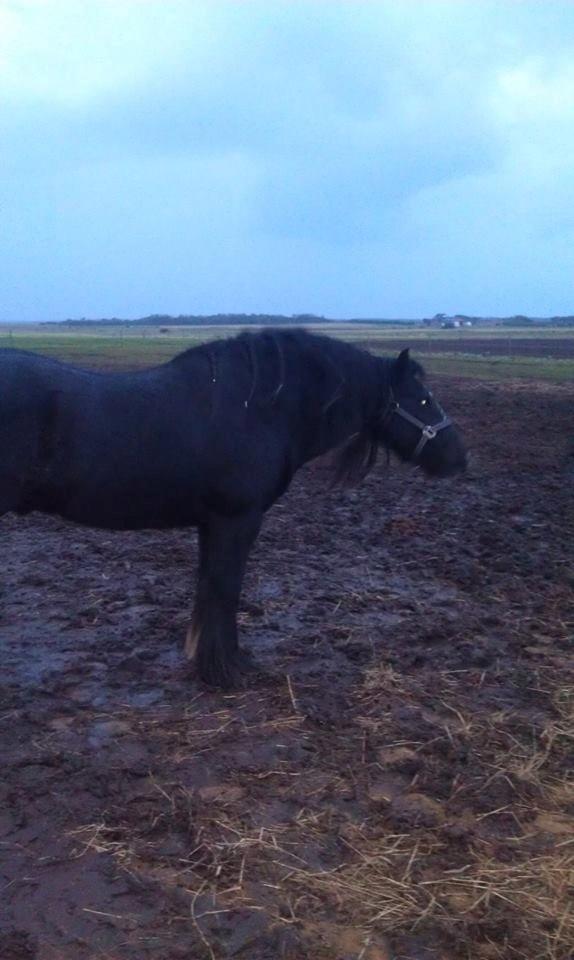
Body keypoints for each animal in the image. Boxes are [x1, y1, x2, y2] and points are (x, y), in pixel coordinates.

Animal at [0, 334, 468, 688]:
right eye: (423, 400)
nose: (461, 459)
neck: (258, 408)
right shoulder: (237, 520)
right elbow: (225, 588)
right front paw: (227, 670)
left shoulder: (212, 524)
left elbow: (208, 588)